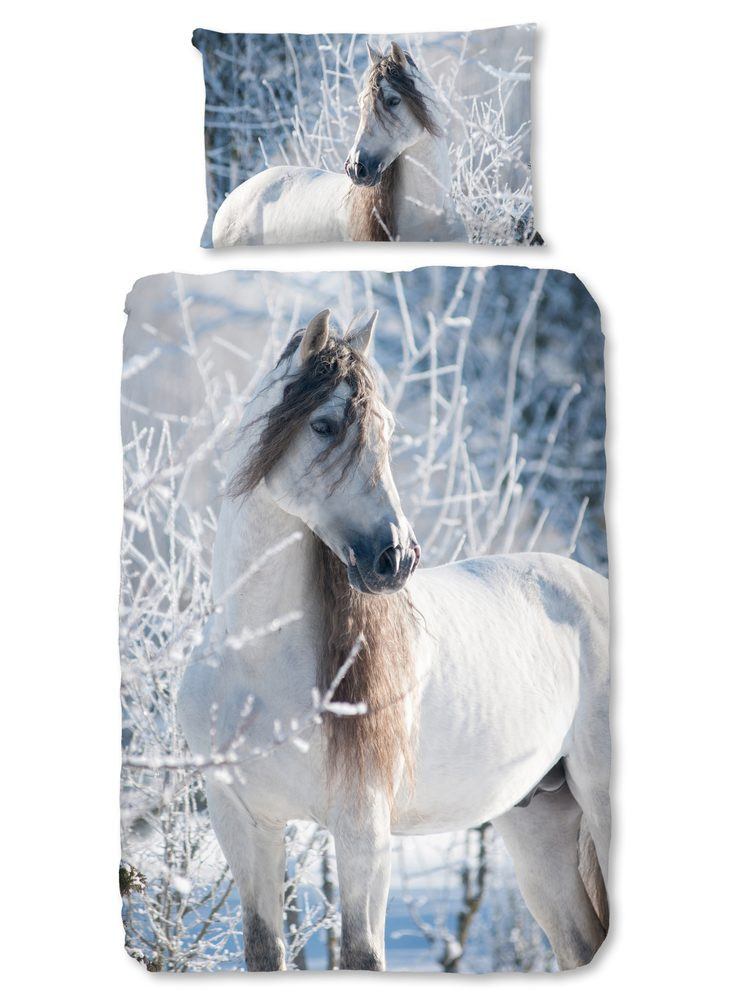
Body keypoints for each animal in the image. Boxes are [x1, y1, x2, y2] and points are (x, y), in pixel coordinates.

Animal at [177, 308, 611, 972]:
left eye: (386, 429)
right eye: (324, 425)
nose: (396, 557)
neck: (254, 659)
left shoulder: (362, 830)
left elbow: (361, 955)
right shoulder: (244, 824)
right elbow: (264, 950)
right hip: (538, 821)